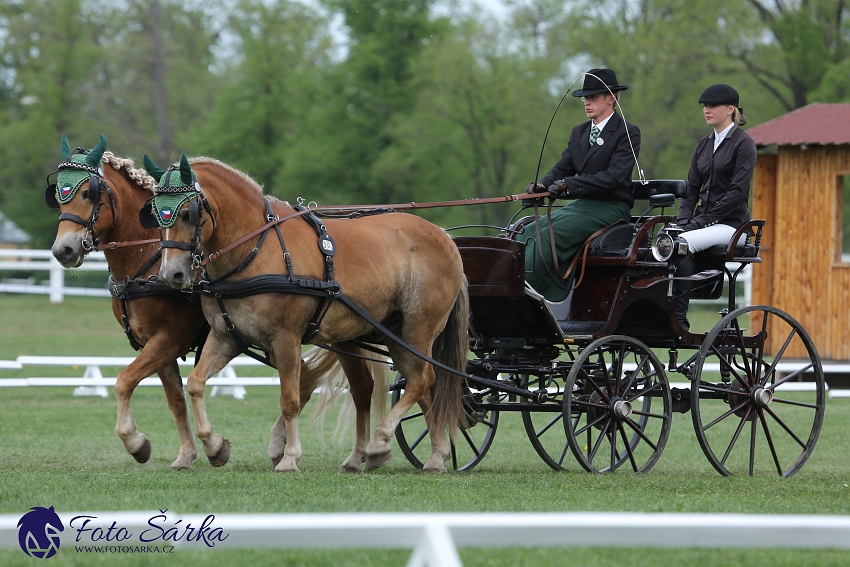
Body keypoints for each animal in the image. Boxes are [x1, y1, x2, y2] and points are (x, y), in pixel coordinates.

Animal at [144, 155, 464, 474]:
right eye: (156, 215)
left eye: (188, 213)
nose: (171, 274)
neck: (254, 250)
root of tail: (444, 236)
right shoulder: (227, 336)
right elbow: (196, 384)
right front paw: (214, 445)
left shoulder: (285, 339)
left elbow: (290, 400)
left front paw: (289, 457)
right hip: (384, 333)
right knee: (403, 388)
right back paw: (426, 456)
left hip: (416, 330)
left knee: (423, 379)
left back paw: (381, 442)